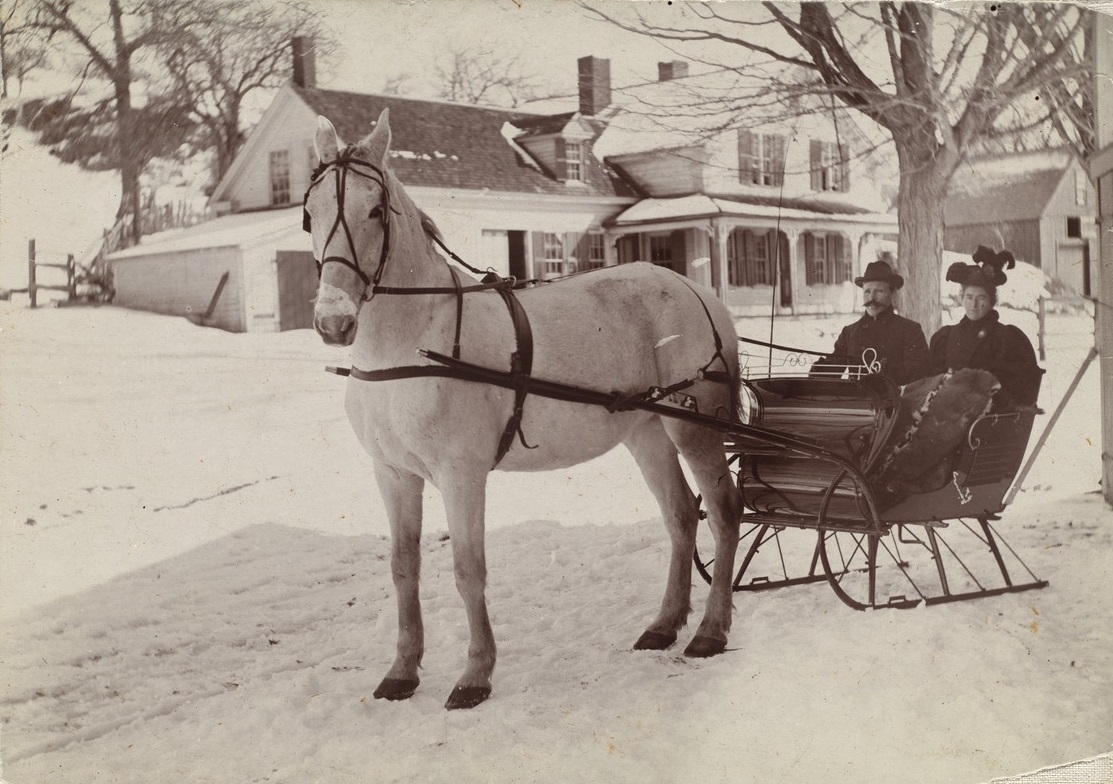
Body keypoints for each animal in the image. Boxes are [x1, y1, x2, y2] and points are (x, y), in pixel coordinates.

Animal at [304, 110, 743, 712]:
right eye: (310, 213)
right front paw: (402, 670)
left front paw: (475, 675)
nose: (333, 321)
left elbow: (468, 570)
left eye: (374, 209)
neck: (412, 343)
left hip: (692, 427)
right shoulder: (393, 474)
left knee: (723, 513)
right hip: (646, 431)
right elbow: (403, 568)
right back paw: (664, 624)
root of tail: (693, 289)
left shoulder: (461, 475)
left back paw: (710, 631)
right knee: (679, 515)